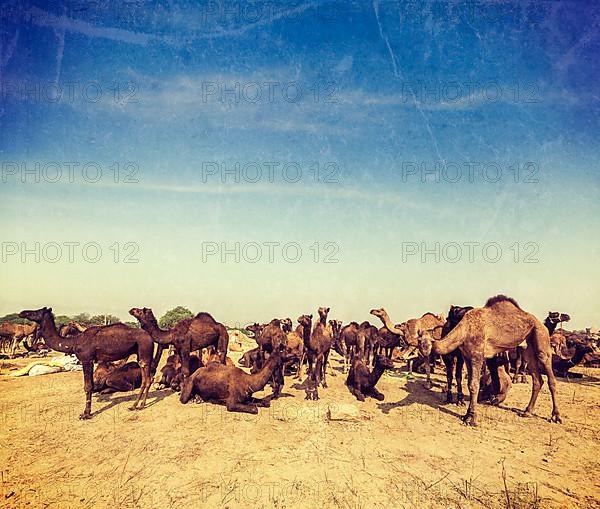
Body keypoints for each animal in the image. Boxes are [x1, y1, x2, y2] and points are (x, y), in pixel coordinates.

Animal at [19, 308, 159, 418]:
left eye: (36, 311)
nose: (22, 312)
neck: (73, 342)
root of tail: (149, 337)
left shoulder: (87, 360)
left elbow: (88, 386)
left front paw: (86, 414)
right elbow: (91, 385)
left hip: (144, 350)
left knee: (147, 378)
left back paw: (138, 406)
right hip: (140, 354)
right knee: (146, 378)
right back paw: (137, 405)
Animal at [432, 294, 564, 424]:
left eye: (452, 316)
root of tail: (543, 325)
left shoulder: (477, 354)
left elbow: (474, 385)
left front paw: (471, 417)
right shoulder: (466, 356)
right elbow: (470, 383)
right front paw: (467, 414)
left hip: (541, 338)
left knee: (550, 377)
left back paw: (556, 416)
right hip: (527, 348)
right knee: (537, 379)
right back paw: (527, 411)